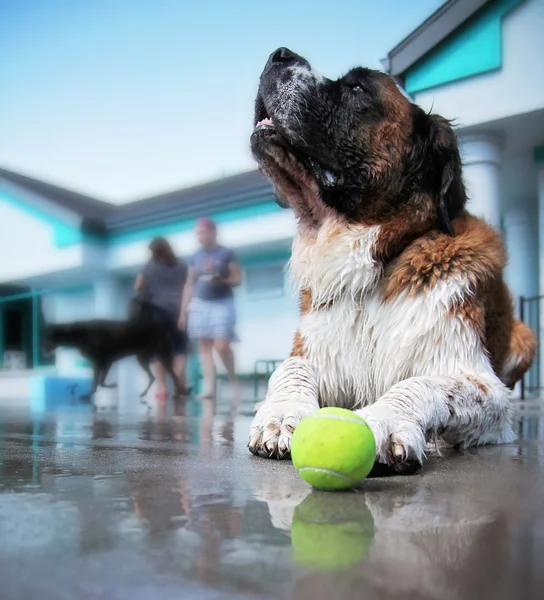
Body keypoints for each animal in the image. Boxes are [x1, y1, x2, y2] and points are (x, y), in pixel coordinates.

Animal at [42, 314, 183, 404]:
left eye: (48, 338)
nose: (43, 351)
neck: (78, 333)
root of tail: (163, 328)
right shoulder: (103, 362)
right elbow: (99, 382)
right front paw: (98, 391)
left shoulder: (102, 361)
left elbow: (98, 382)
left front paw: (96, 392)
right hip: (142, 358)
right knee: (153, 377)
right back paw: (144, 393)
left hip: (163, 356)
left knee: (175, 377)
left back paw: (177, 394)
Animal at [248, 48, 536, 474]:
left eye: (356, 87)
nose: (278, 54)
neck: (376, 261)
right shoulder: (316, 352)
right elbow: (290, 367)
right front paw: (281, 412)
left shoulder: (486, 390)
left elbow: (425, 383)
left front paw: (382, 420)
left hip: (525, 336)